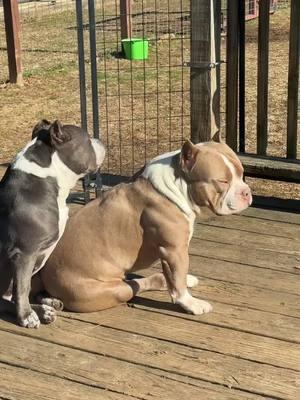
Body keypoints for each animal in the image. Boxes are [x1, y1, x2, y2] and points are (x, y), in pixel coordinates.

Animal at [0, 119, 105, 328]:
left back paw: (47, 304)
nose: (99, 139)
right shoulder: (24, 253)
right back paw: (39, 311)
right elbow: (22, 287)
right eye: (88, 140)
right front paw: (26, 316)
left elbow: (24, 287)